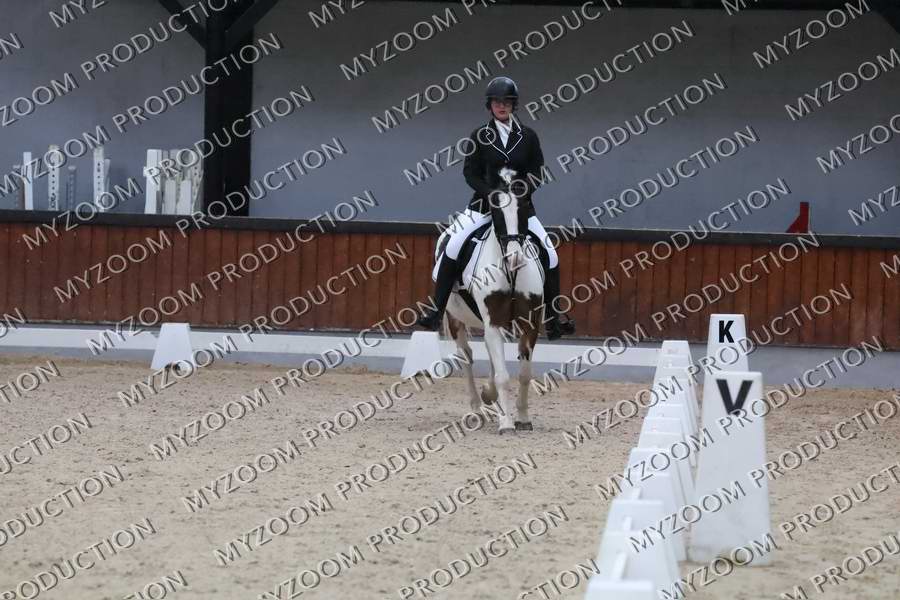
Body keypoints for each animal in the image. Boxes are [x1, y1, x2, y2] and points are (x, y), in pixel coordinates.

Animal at [440, 167, 545, 434]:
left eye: (525, 208)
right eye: (496, 212)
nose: (515, 258)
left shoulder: (530, 322)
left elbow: (524, 374)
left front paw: (523, 418)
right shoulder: (493, 320)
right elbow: (503, 375)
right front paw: (506, 422)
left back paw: (489, 396)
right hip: (455, 318)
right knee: (466, 357)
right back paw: (476, 409)